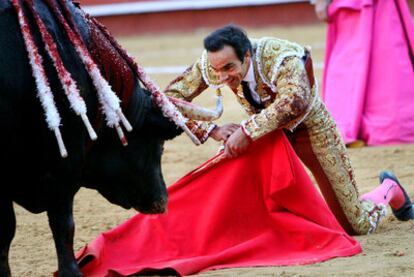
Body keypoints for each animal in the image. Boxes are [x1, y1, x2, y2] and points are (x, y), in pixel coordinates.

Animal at [0, 1, 184, 274]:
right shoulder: (63, 167)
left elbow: (5, 232)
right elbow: (63, 225)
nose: (163, 201)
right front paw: (72, 271)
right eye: (158, 145)